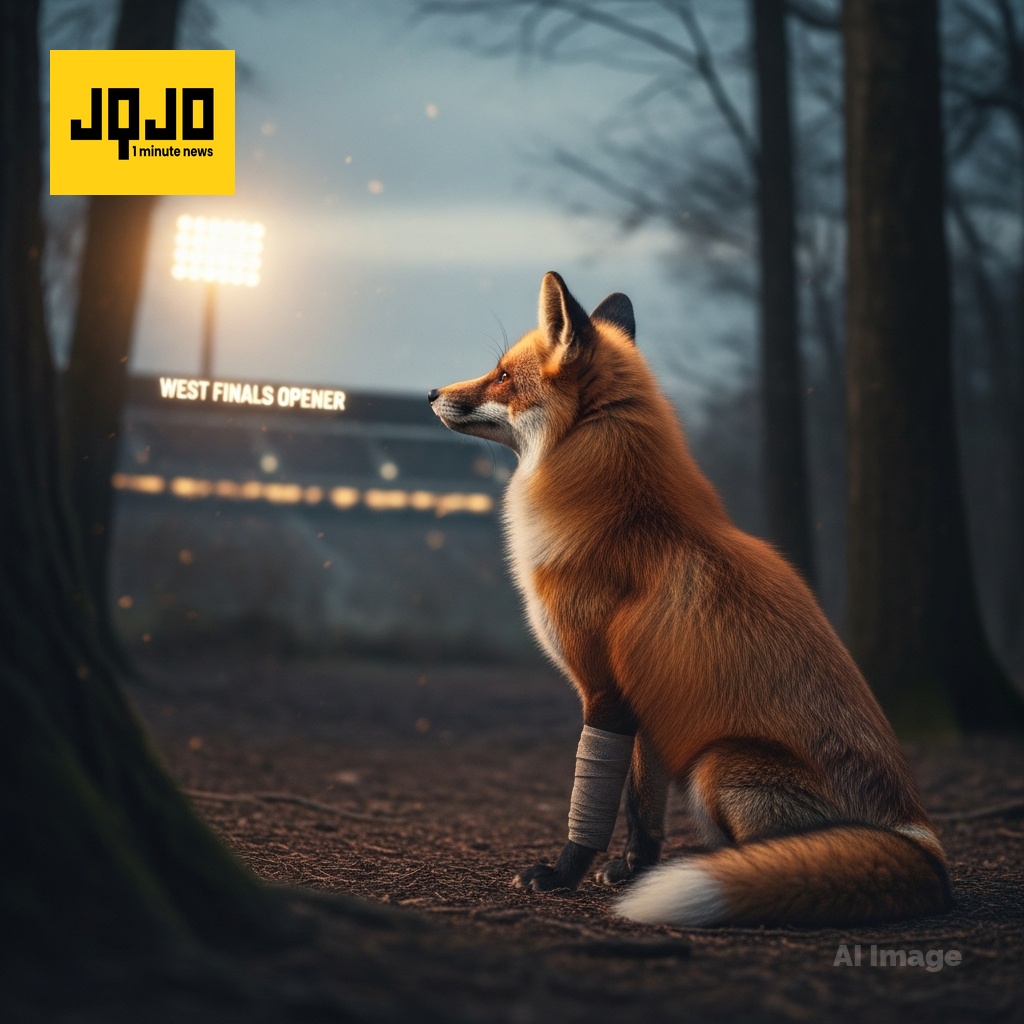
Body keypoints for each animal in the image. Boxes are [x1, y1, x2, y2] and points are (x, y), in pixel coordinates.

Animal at [427, 271, 951, 927]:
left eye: (501, 376)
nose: (431, 393)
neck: (620, 517)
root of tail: (922, 843)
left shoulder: (602, 688)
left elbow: (592, 800)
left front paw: (563, 874)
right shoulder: (645, 692)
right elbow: (641, 804)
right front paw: (635, 869)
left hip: (716, 764)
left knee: (784, 853)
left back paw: (736, 871)